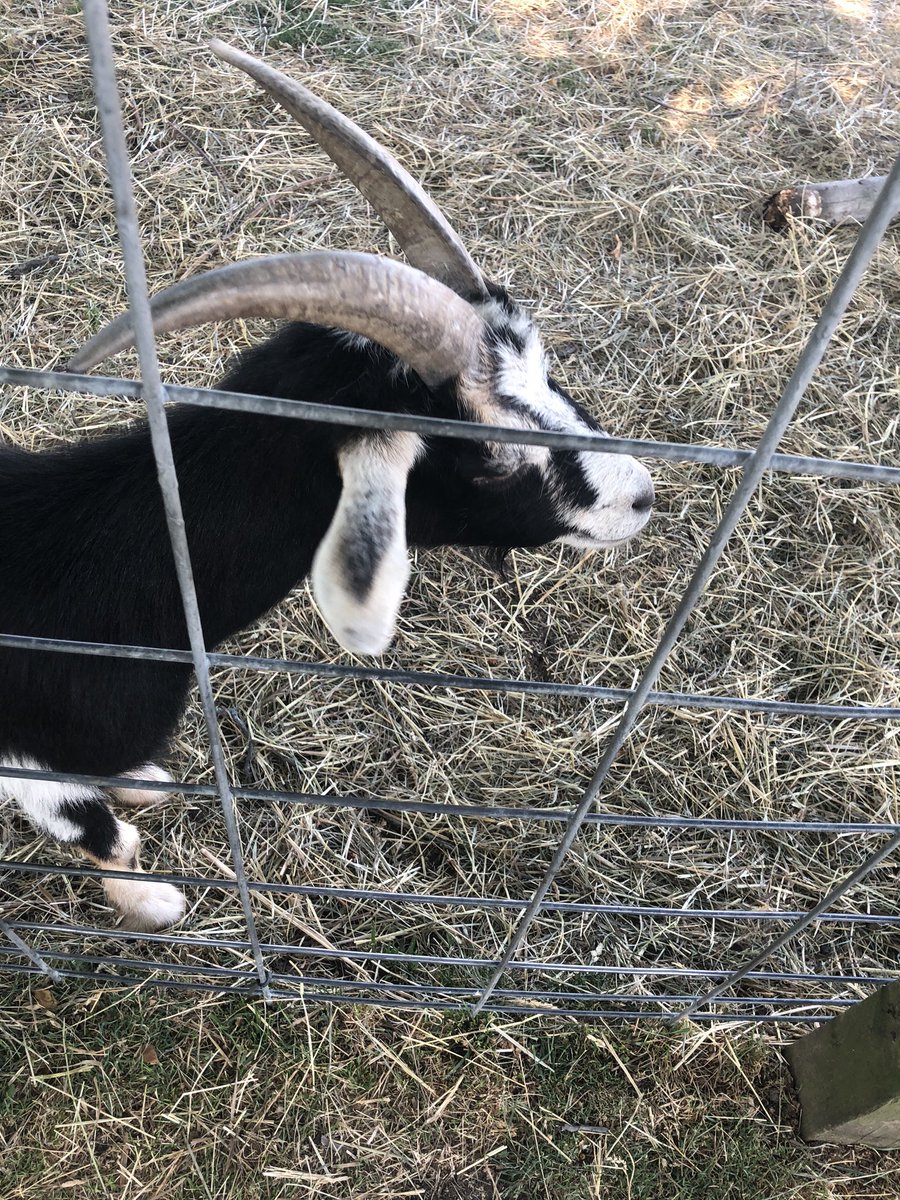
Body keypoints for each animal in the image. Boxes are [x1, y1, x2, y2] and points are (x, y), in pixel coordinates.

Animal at [0, 41, 653, 931]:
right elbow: (101, 832)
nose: (639, 494)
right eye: (484, 456)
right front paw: (152, 902)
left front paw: (143, 778)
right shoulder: (23, 753)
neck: (82, 580)